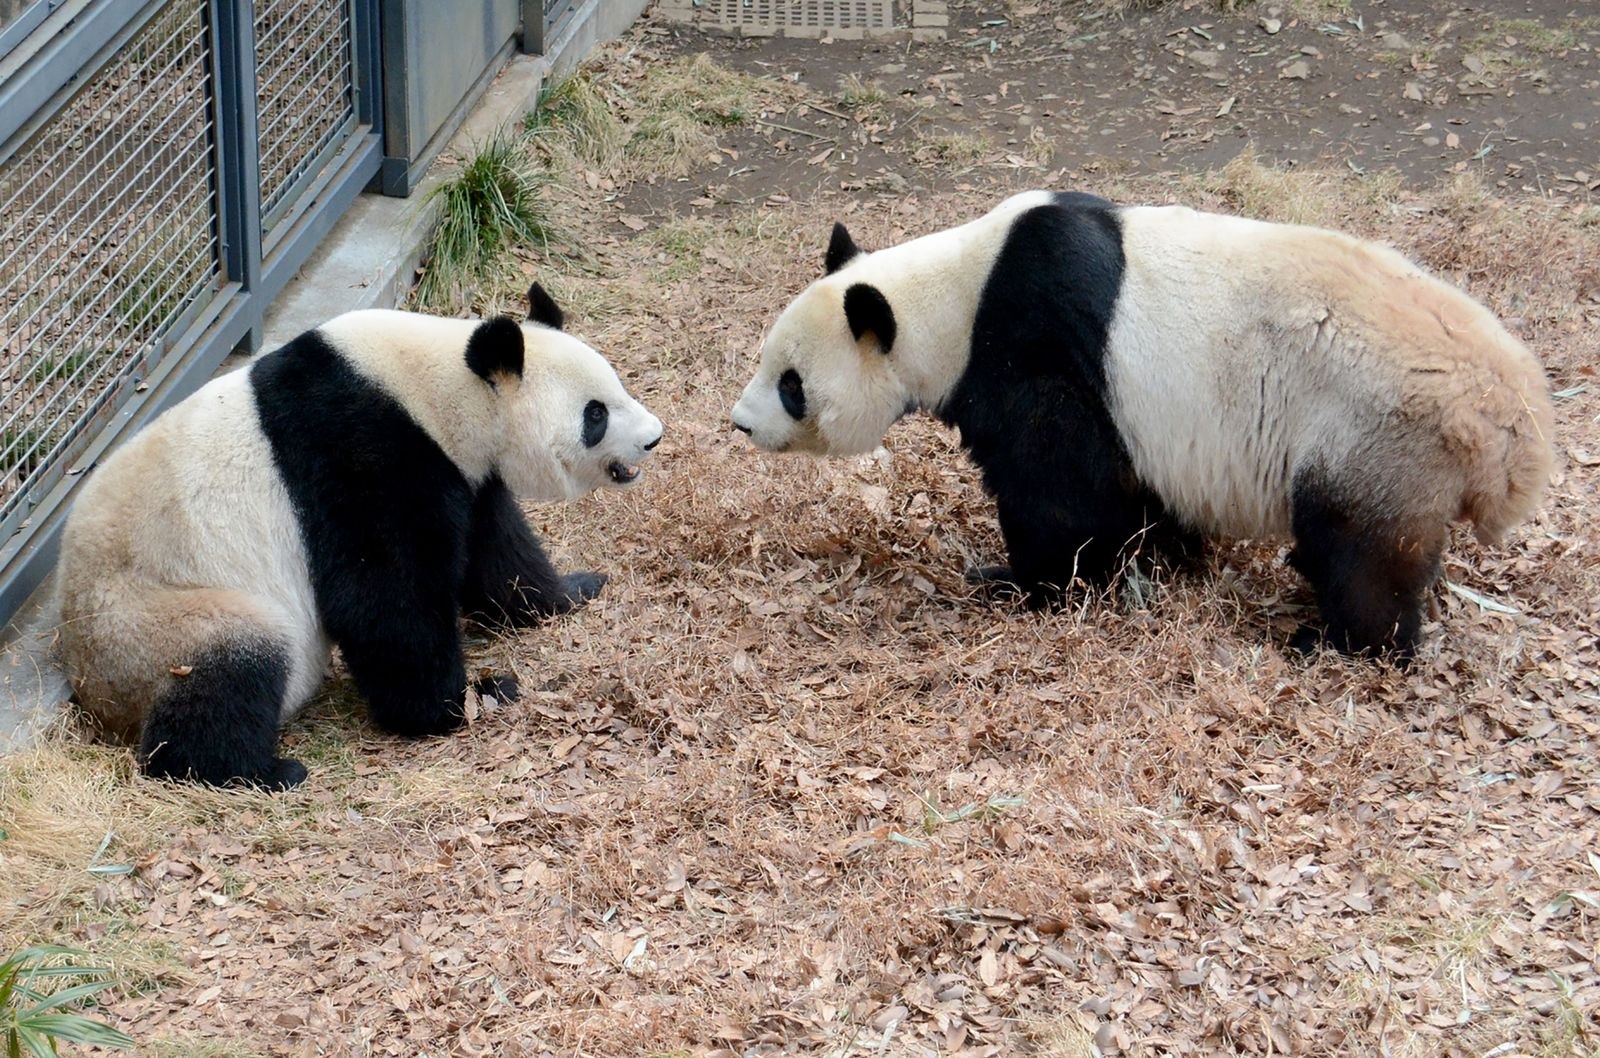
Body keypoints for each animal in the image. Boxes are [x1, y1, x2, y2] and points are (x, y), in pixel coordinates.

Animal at [56, 280, 656, 784]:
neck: (439, 385)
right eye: (595, 414)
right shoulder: (361, 452)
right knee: (231, 662)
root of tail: (99, 701)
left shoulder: (462, 469)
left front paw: (572, 590)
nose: (653, 437)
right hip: (147, 620)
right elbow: (384, 594)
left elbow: (496, 550)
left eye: (617, 388)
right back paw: (257, 771)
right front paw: (453, 704)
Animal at [732, 185, 1555, 656]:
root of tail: (1513, 428)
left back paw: (1334, 640)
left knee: (1362, 550)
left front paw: (1020, 582)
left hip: (1377, 433)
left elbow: (1063, 489)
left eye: (791, 385)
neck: (953, 295)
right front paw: (1168, 554)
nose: (740, 424)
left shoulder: (1035, 343)